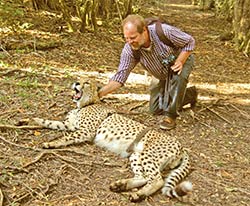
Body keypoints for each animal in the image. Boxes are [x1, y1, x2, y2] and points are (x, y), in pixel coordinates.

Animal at [33, 78, 192, 202]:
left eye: (86, 82)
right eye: (79, 79)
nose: (76, 83)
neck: (85, 104)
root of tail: (182, 147)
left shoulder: (86, 131)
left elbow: (65, 137)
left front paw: (51, 143)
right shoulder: (70, 125)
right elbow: (51, 122)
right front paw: (32, 120)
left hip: (148, 155)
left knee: (157, 180)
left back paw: (138, 195)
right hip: (136, 154)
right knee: (143, 177)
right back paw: (121, 185)